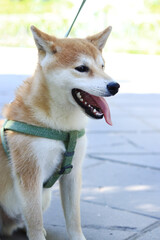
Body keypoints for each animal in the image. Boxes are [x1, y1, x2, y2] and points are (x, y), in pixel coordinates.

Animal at [0, 24, 120, 240]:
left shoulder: (73, 174)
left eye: (102, 66)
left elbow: (73, 219)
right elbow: (35, 220)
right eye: (82, 68)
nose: (115, 86)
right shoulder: (30, 174)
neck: (61, 127)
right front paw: (37, 234)